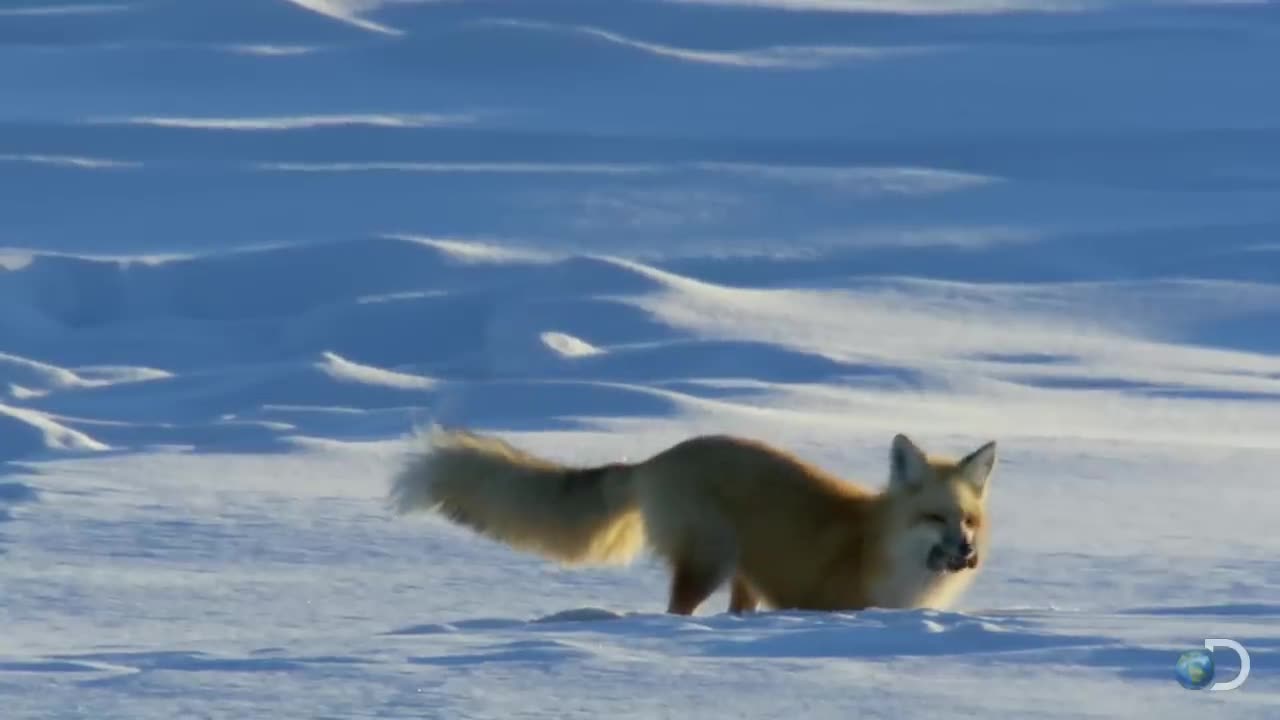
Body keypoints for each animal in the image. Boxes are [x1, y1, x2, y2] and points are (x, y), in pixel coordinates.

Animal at [384, 422, 993, 614]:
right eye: (934, 518)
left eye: (967, 522)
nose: (965, 553)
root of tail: (658, 459)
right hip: (709, 562)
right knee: (677, 612)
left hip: (742, 576)